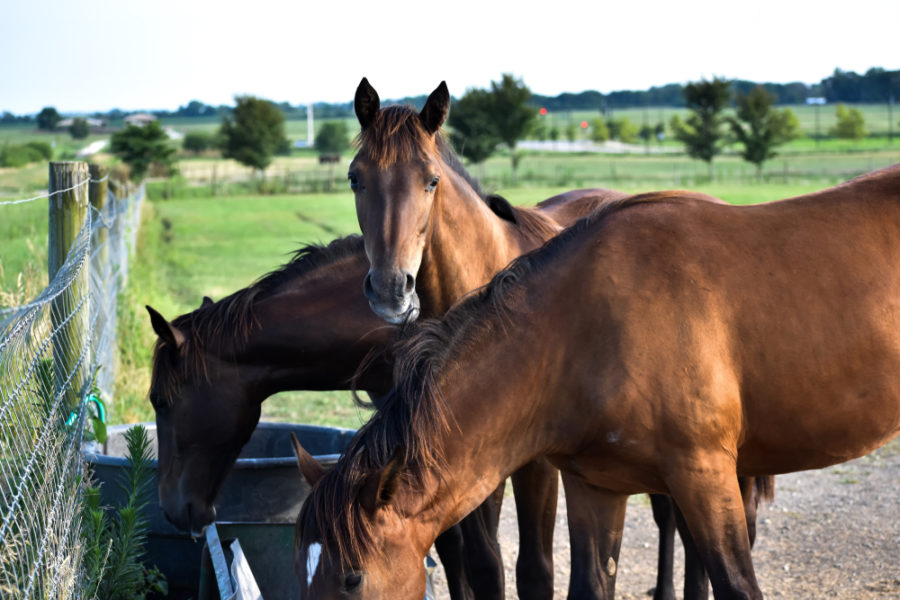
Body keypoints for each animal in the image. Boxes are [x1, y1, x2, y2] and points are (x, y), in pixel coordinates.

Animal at [294, 169, 900, 600]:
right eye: (305, 572)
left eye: (351, 578)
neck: (583, 324)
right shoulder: (595, 488)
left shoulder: (704, 476)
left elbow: (735, 585)